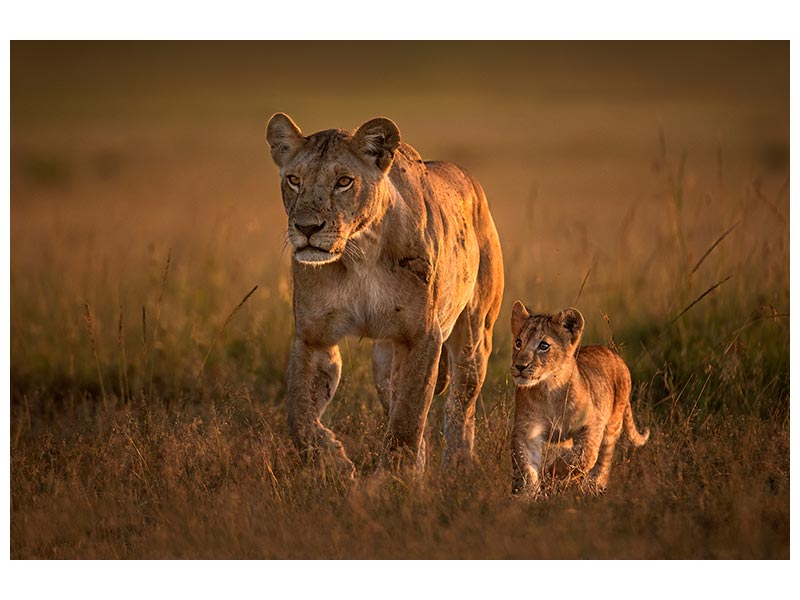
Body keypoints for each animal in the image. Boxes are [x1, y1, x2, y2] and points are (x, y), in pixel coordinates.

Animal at [265, 113, 504, 476]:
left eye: (344, 182)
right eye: (293, 180)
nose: (306, 228)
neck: (358, 254)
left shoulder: (422, 336)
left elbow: (408, 418)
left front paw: (394, 479)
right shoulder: (313, 337)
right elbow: (299, 416)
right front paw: (334, 463)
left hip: (475, 336)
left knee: (461, 405)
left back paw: (458, 466)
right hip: (384, 360)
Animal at [509, 302, 649, 495]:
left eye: (544, 346)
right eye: (518, 343)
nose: (520, 366)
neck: (549, 389)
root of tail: (613, 354)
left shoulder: (593, 423)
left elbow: (585, 454)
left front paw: (553, 470)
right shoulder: (527, 429)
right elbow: (525, 466)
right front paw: (526, 494)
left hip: (613, 424)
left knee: (604, 460)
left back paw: (593, 486)